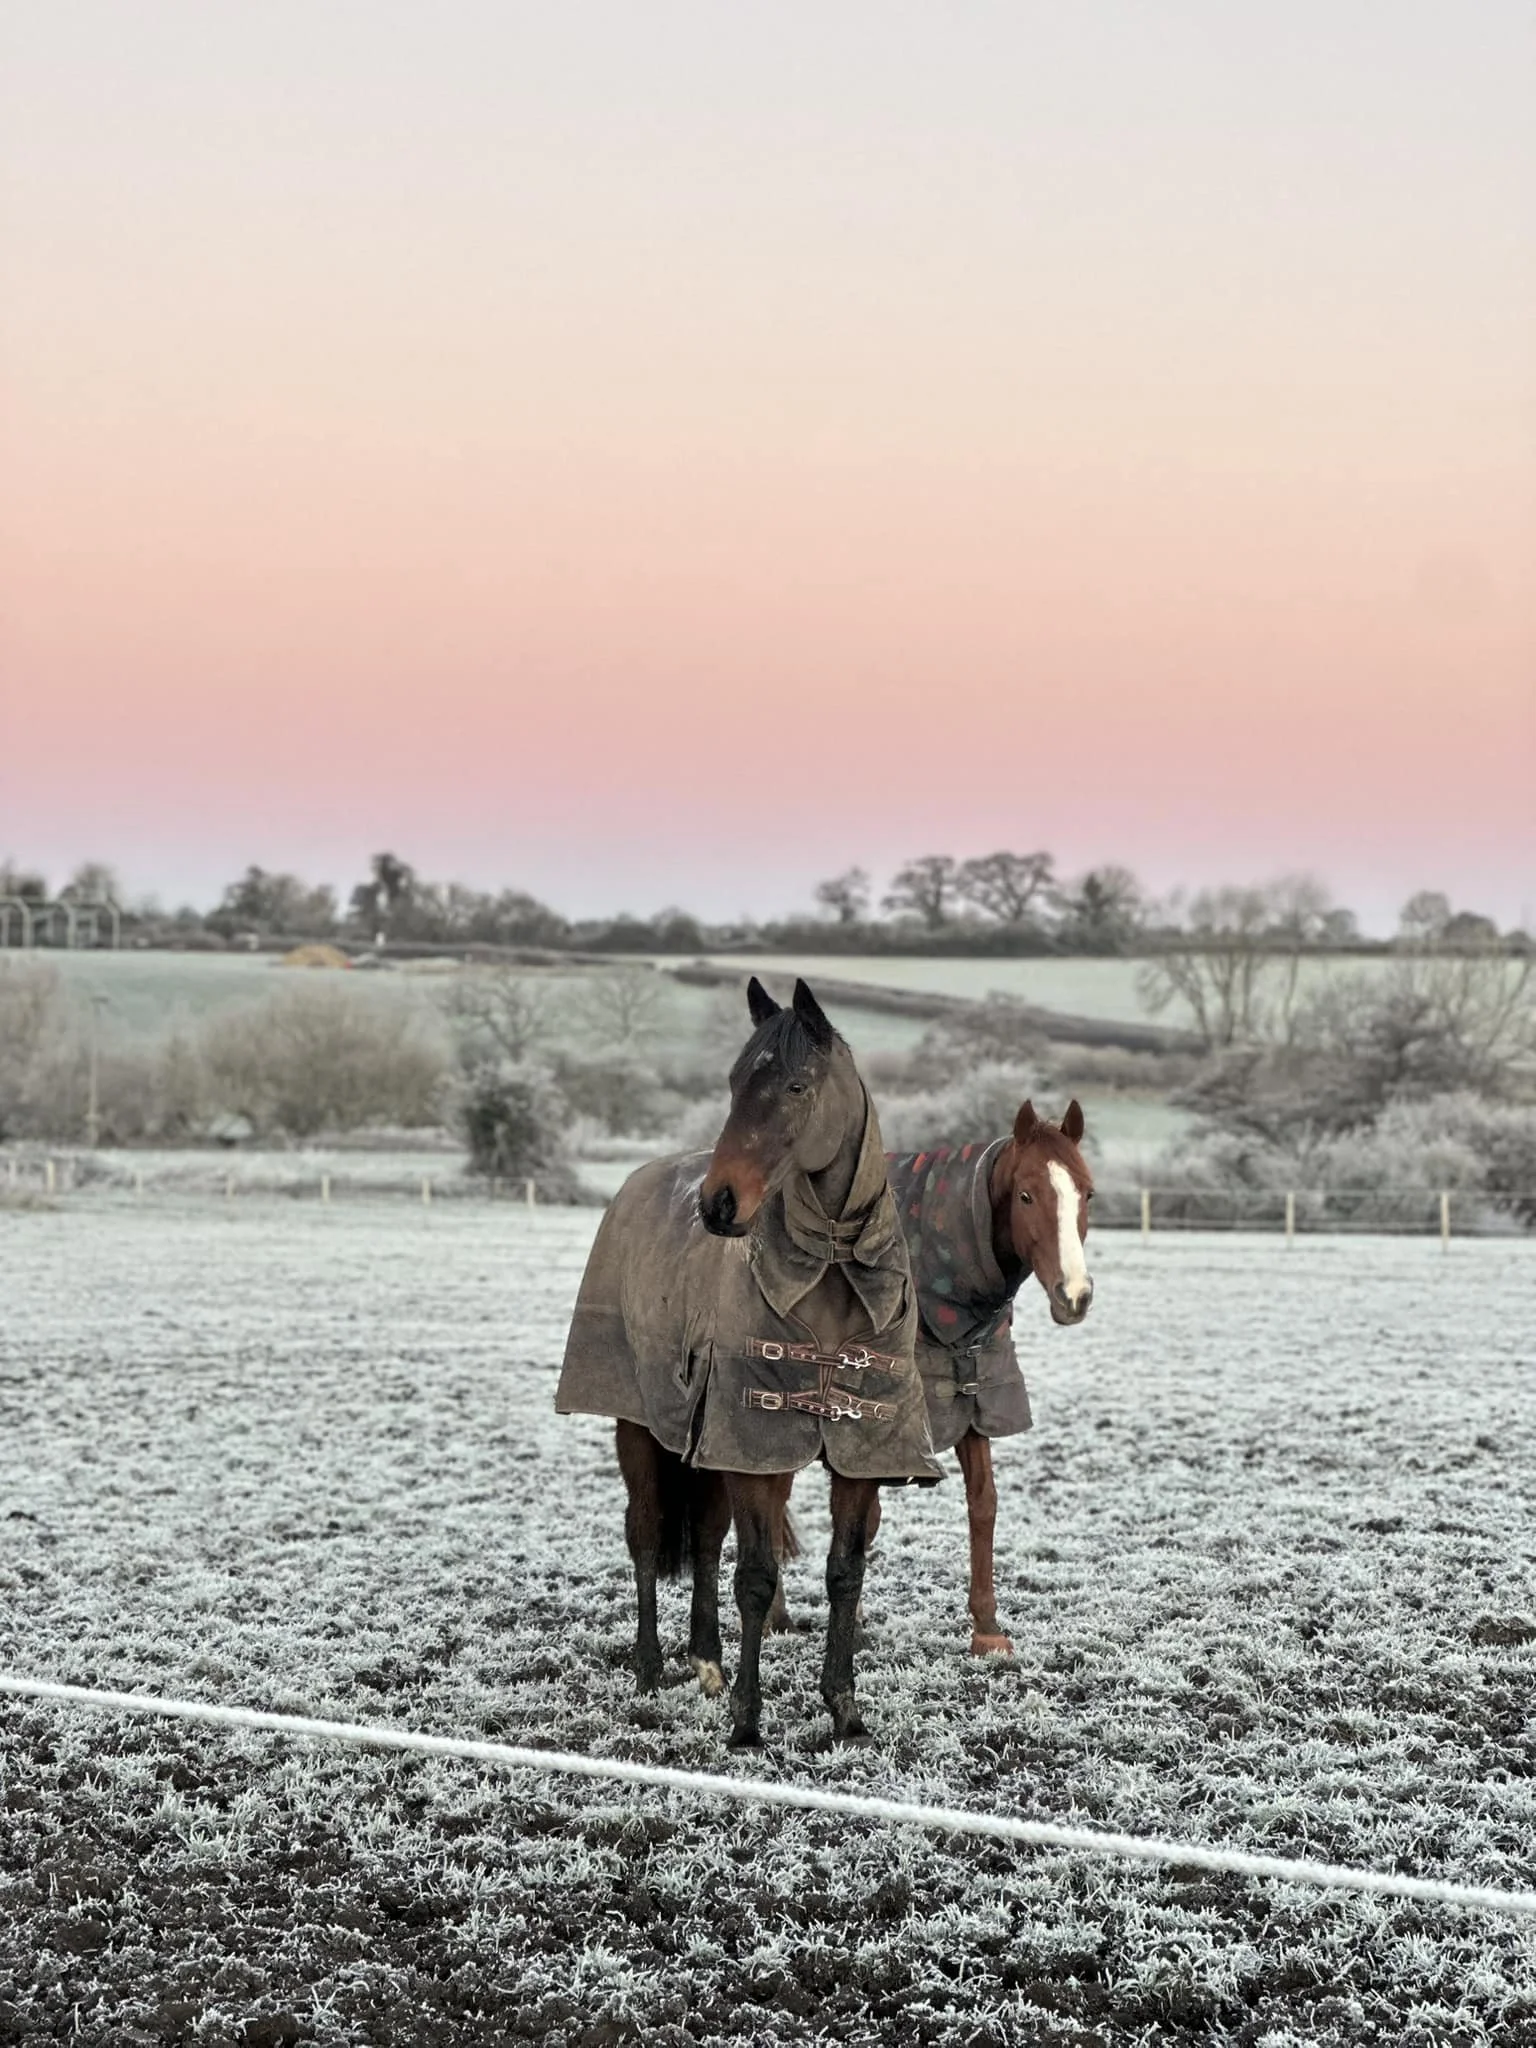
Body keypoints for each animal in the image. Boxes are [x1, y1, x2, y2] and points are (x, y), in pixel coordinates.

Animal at [556, 977, 939, 1748]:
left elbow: (844, 1573)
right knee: (647, 1537)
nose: (719, 1204)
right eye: (735, 1082)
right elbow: (758, 1579)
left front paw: (844, 1709)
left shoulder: (856, 1454)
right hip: (640, 1431)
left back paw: (707, 1660)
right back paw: (650, 1668)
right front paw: (747, 1722)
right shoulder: (755, 1451)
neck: (830, 1271)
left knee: (704, 1541)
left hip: (704, 1449)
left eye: (796, 1085)